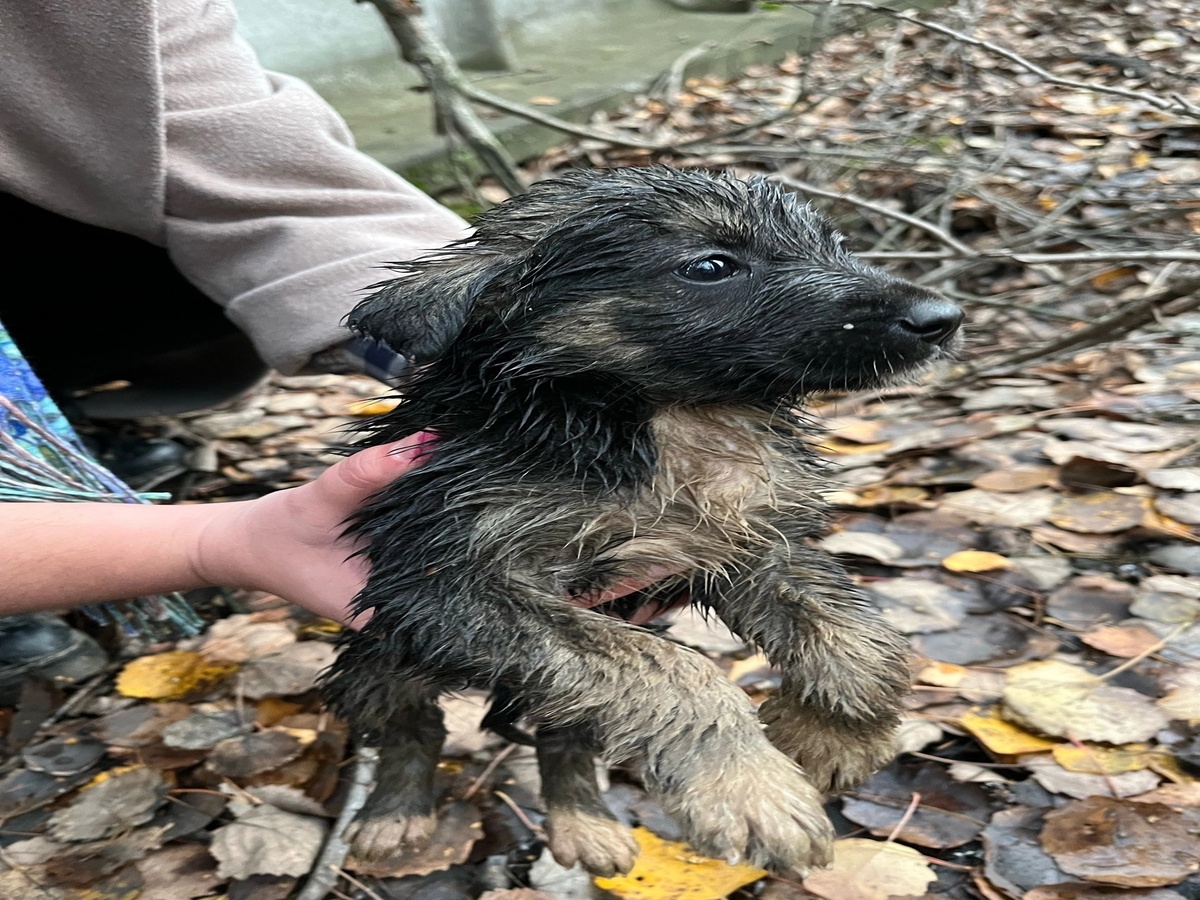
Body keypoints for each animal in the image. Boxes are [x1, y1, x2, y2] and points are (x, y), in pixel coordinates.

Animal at [321, 165, 964, 878]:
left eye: (837, 246)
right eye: (712, 266)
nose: (944, 318)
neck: (672, 420)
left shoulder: (752, 545)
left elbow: (864, 642)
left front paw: (832, 739)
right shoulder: (444, 578)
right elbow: (670, 668)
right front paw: (751, 790)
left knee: (566, 735)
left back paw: (586, 824)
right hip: (377, 659)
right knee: (412, 724)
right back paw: (394, 814)